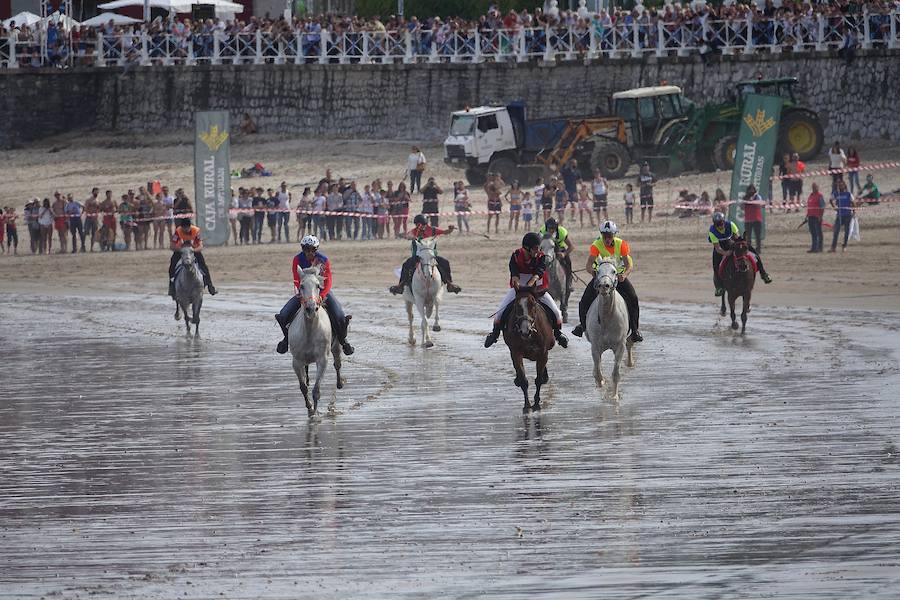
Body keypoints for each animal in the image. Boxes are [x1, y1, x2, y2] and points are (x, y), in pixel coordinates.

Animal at [290, 268, 342, 418]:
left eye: (318, 286)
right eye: (301, 286)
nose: (311, 308)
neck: (310, 331)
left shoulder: (322, 360)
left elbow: (316, 390)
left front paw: (315, 413)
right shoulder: (296, 362)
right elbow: (303, 387)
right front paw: (309, 408)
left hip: (336, 346)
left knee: (337, 364)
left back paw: (340, 383)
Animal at [584, 260, 632, 400]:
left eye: (614, 271)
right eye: (598, 271)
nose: (604, 286)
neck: (607, 317)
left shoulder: (620, 346)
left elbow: (616, 374)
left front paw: (614, 397)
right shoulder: (595, 346)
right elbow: (598, 373)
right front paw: (602, 386)